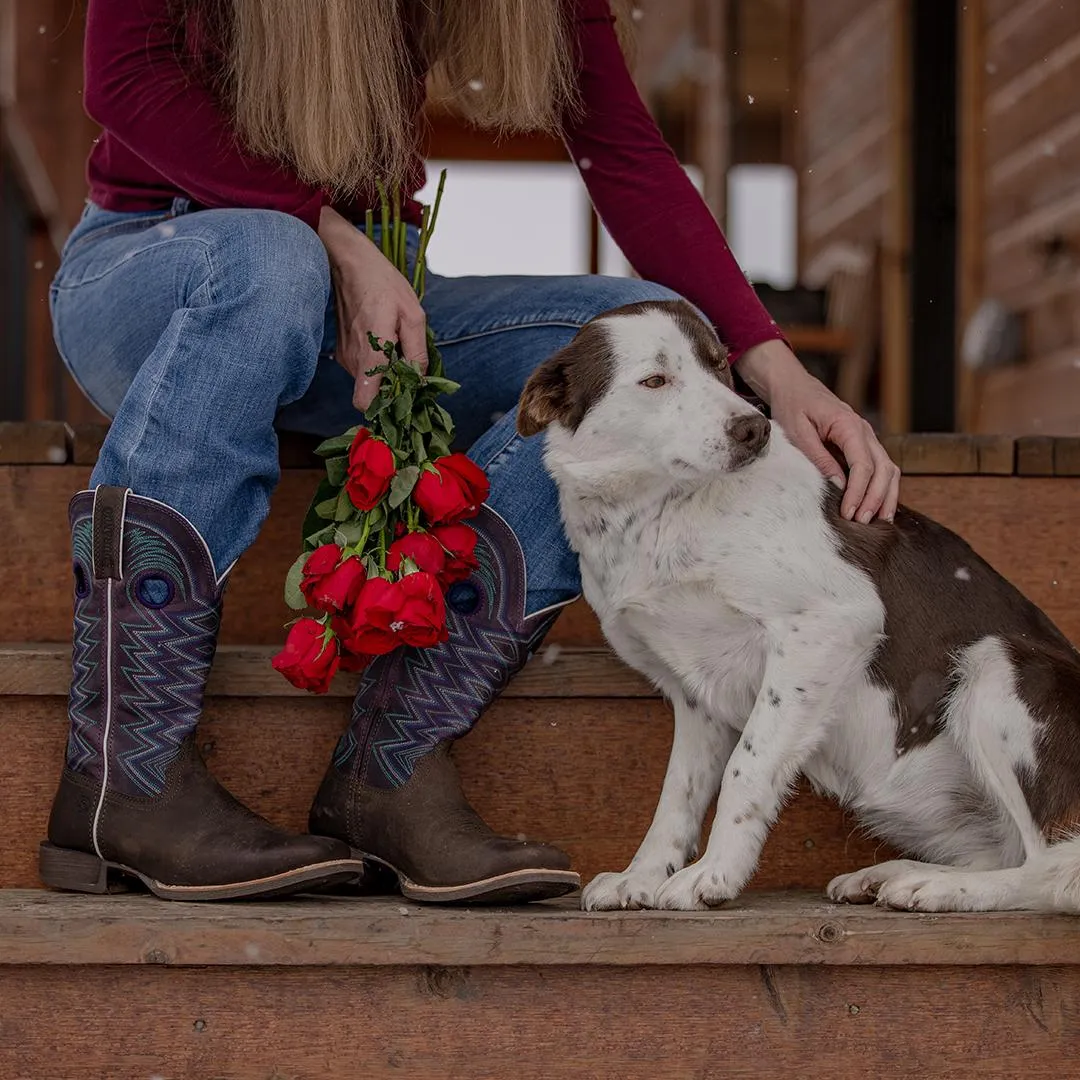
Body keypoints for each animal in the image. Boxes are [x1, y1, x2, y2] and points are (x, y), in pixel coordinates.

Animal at [511, 300, 1080, 915]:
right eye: (655, 381)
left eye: (720, 365)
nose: (754, 428)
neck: (661, 509)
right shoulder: (694, 691)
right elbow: (677, 794)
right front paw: (641, 875)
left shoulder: (832, 623)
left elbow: (747, 766)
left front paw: (714, 874)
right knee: (1012, 853)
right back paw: (891, 875)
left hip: (999, 664)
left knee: (1052, 869)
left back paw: (941, 887)